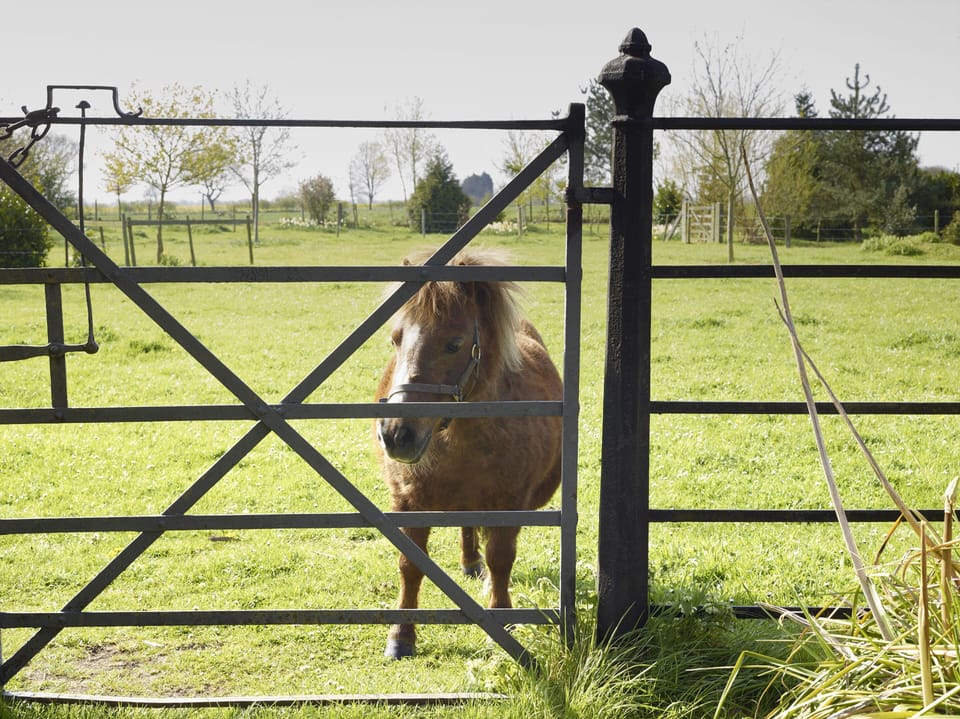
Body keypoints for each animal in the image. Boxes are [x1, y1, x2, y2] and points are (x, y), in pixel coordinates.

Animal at [374, 248, 563, 659]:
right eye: (395, 339)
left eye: (454, 343)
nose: (397, 434)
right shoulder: (408, 503)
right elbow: (410, 565)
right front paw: (401, 635)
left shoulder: (509, 505)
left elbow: (501, 560)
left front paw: (501, 619)